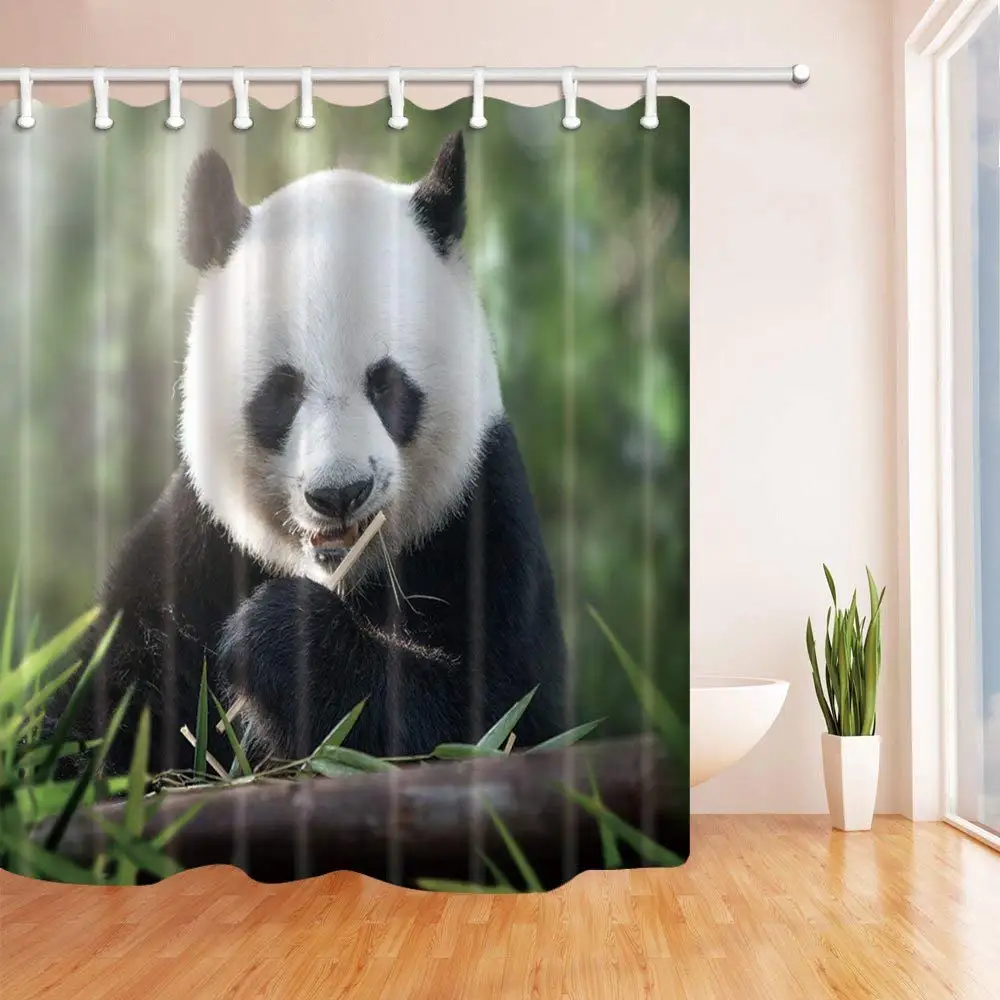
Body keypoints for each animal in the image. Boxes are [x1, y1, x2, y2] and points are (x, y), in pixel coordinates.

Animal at [47, 131, 567, 778]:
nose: (339, 493)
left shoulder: (480, 520)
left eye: (387, 385)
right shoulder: (198, 543)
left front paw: (279, 636)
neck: (340, 573)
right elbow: (100, 700)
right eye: (283, 391)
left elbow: (493, 717)